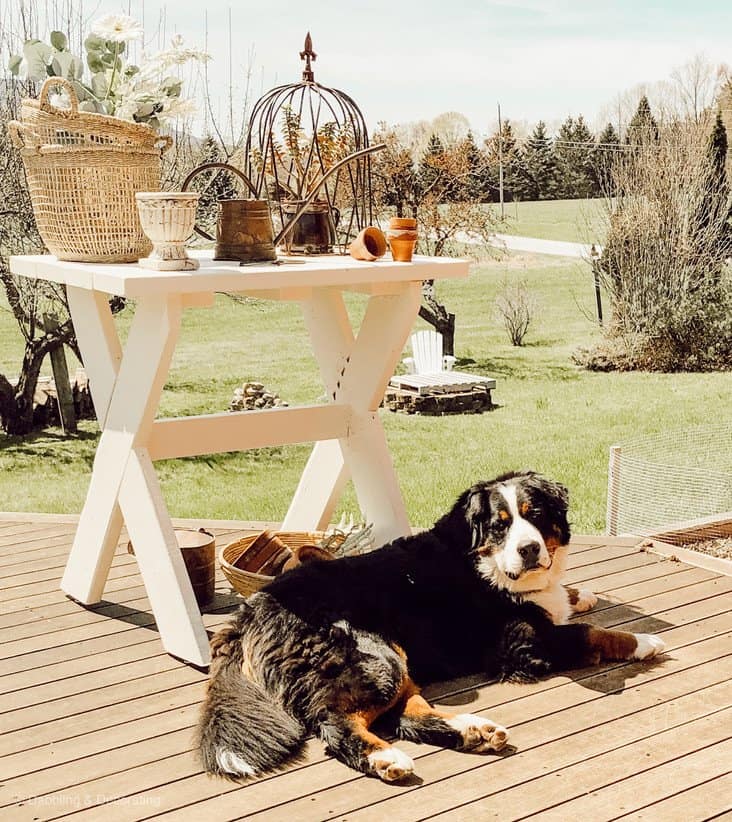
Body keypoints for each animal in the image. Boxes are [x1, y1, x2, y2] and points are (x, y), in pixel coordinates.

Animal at [197, 470, 668, 784]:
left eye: (534, 515)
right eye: (499, 526)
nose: (530, 549)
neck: (484, 565)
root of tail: (249, 612)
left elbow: (567, 604)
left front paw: (578, 595)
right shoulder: (521, 644)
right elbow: (590, 632)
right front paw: (643, 641)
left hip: (394, 659)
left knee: (408, 713)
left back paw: (474, 731)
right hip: (375, 656)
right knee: (338, 723)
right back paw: (387, 760)